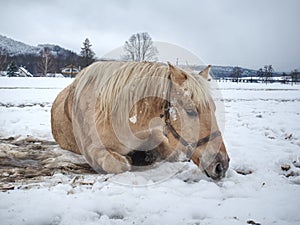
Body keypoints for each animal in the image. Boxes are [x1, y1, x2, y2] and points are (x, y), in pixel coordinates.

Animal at [51, 60, 230, 180]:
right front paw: (131, 158)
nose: (221, 165)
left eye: (214, 109)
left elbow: (172, 153)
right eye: (190, 111)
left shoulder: (157, 134)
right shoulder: (92, 150)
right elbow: (120, 164)